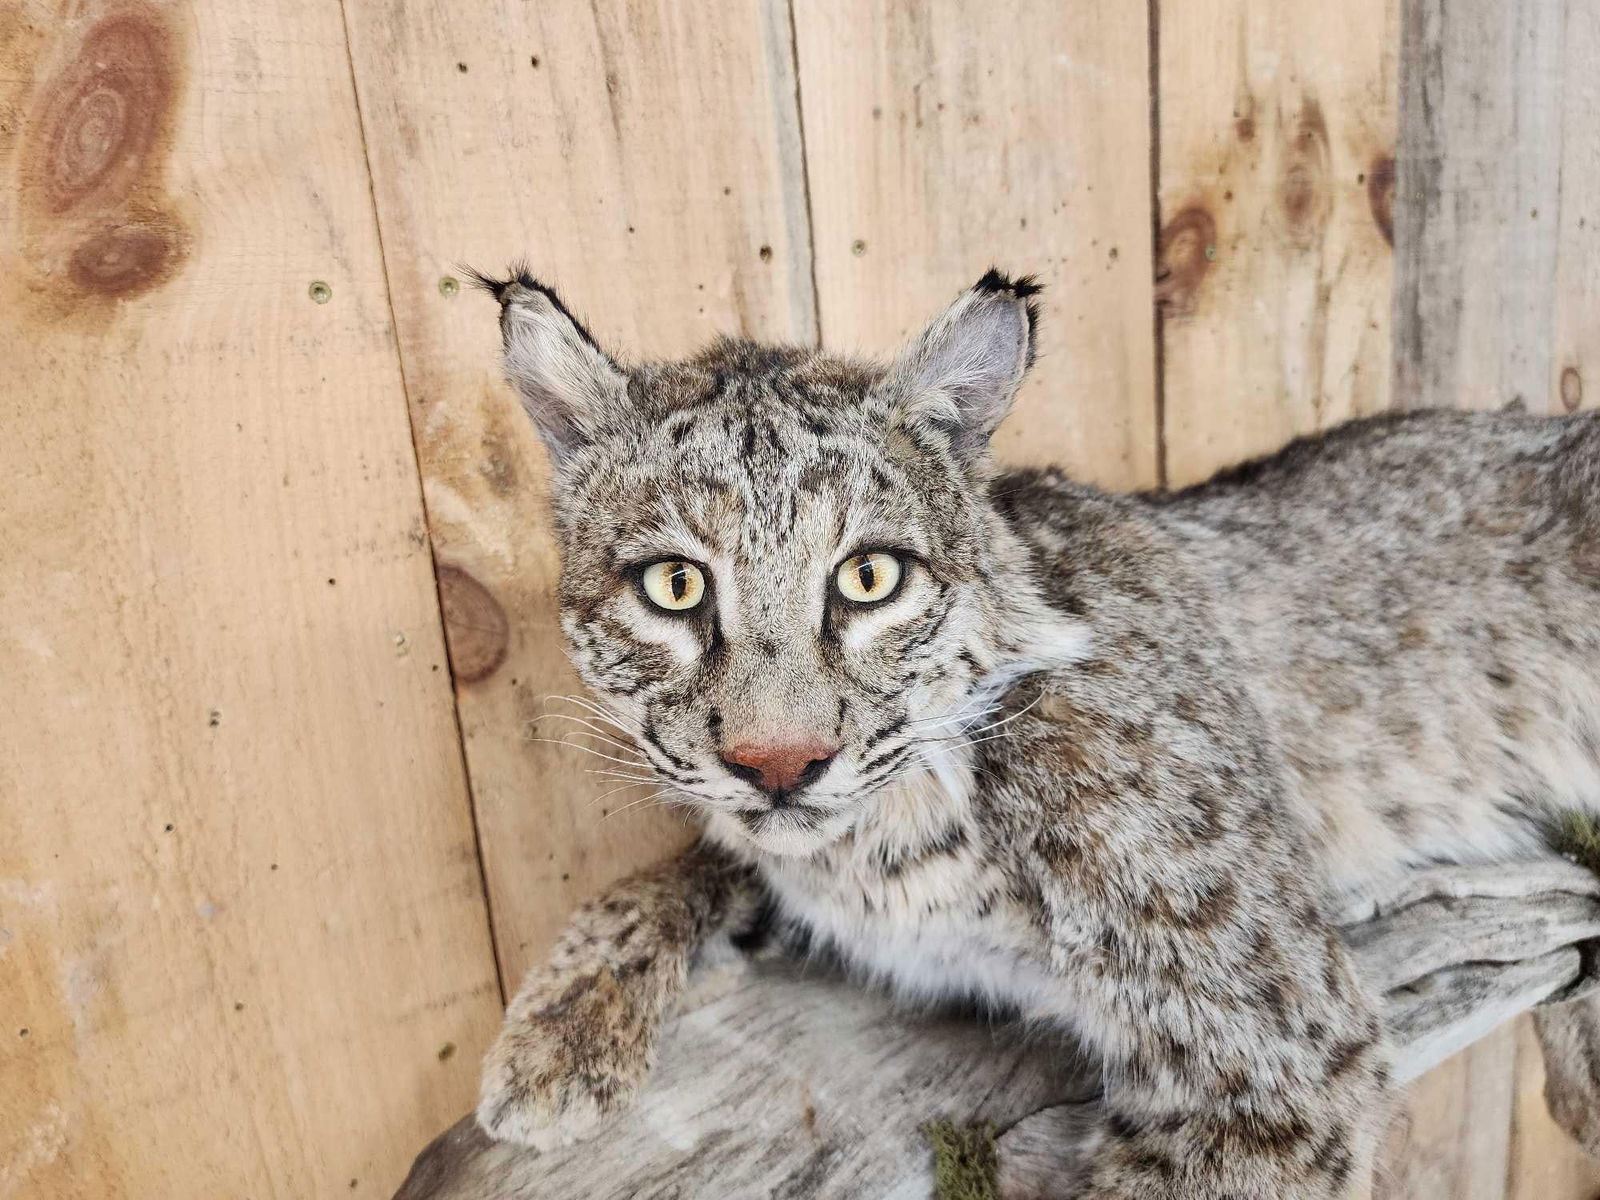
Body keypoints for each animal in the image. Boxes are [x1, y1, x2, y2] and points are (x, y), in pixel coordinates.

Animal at [467, 266, 1600, 1198]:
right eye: (674, 586)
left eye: (869, 578)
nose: (779, 765)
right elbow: (677, 866)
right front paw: (555, 1036)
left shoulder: (1276, 1048)